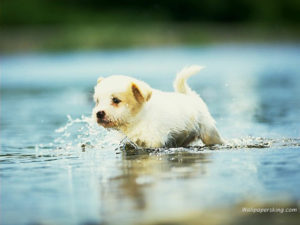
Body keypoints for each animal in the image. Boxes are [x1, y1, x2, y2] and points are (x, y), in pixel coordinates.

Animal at [92, 65, 224, 148]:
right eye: (97, 101)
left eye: (116, 100)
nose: (99, 113)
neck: (137, 120)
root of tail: (189, 96)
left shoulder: (154, 142)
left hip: (209, 132)